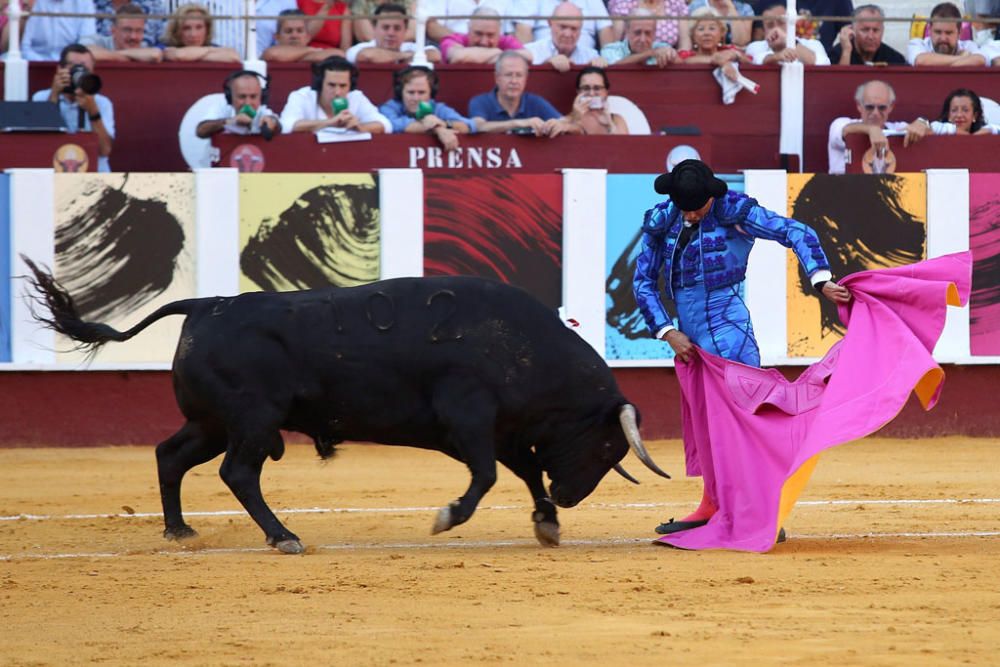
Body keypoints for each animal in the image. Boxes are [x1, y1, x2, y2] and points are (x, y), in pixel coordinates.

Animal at [23, 260, 668, 552]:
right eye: (607, 444)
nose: (572, 495)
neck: (522, 343)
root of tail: (208, 305)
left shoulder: (502, 430)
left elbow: (526, 469)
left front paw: (548, 522)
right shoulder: (470, 420)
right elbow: (486, 476)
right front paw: (449, 517)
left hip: (211, 422)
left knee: (171, 455)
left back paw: (180, 530)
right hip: (252, 420)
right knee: (238, 472)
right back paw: (283, 537)